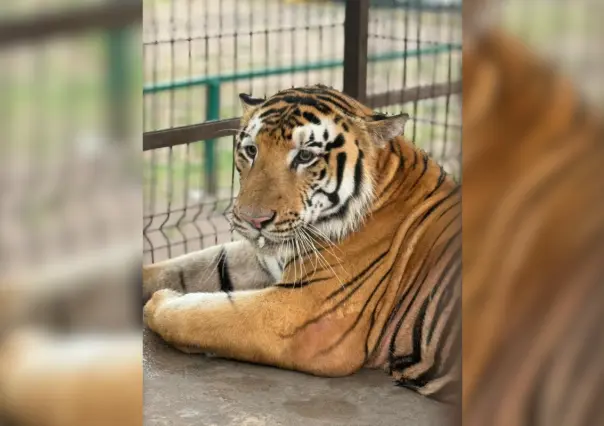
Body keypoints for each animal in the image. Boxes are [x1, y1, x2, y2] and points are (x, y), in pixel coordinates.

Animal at [143, 82, 462, 402]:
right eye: (251, 150)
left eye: (305, 157)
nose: (253, 220)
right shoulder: (264, 259)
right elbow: (187, 266)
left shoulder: (305, 315)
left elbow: (199, 316)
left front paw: (161, 300)